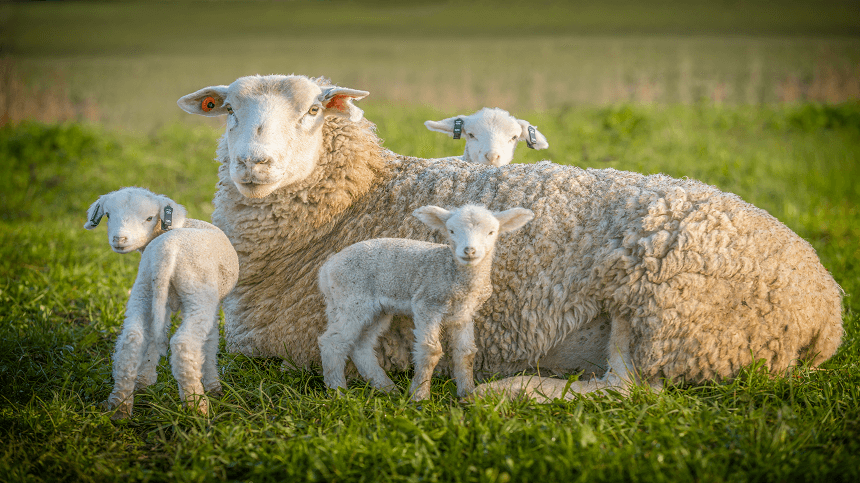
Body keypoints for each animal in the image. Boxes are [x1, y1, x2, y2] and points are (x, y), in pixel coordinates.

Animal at [84, 187, 239, 418]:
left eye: (149, 218)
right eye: (108, 215)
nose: (119, 239)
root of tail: (167, 251)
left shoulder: (161, 301)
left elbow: (156, 336)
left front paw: (144, 381)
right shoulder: (211, 302)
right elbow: (211, 342)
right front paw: (214, 386)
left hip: (144, 287)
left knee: (132, 339)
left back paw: (120, 407)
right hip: (198, 293)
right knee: (184, 344)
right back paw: (197, 406)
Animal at [320, 204, 536, 400]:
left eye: (491, 232)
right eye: (451, 231)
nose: (469, 251)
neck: (453, 274)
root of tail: (326, 269)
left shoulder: (463, 314)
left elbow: (466, 353)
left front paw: (467, 394)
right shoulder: (427, 304)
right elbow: (430, 350)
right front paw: (420, 396)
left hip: (372, 309)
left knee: (361, 346)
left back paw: (387, 389)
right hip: (352, 299)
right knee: (332, 342)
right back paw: (338, 393)